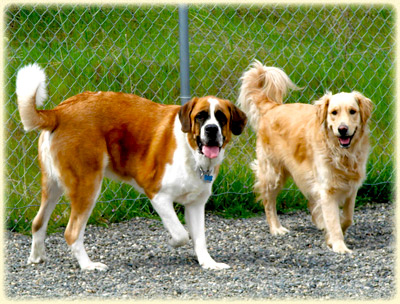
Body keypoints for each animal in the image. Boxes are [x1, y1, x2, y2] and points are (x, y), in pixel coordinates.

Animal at [15, 63, 245, 270]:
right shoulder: (158, 196)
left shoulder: (196, 204)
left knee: (38, 222)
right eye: (200, 116)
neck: (192, 153)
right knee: (71, 232)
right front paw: (172, 241)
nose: (211, 129)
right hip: (87, 186)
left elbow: (199, 238)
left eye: (221, 118)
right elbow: (182, 234)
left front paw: (208, 263)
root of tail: (59, 111)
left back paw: (36, 258)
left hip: (53, 185)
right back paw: (88, 265)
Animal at [238, 60, 372, 253]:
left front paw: (332, 235)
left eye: (352, 111)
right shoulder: (327, 188)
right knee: (269, 202)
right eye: (334, 112)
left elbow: (347, 218)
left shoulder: (351, 187)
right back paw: (276, 228)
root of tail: (272, 107)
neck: (342, 154)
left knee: (311, 202)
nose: (342, 129)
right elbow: (334, 221)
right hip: (273, 173)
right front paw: (338, 245)